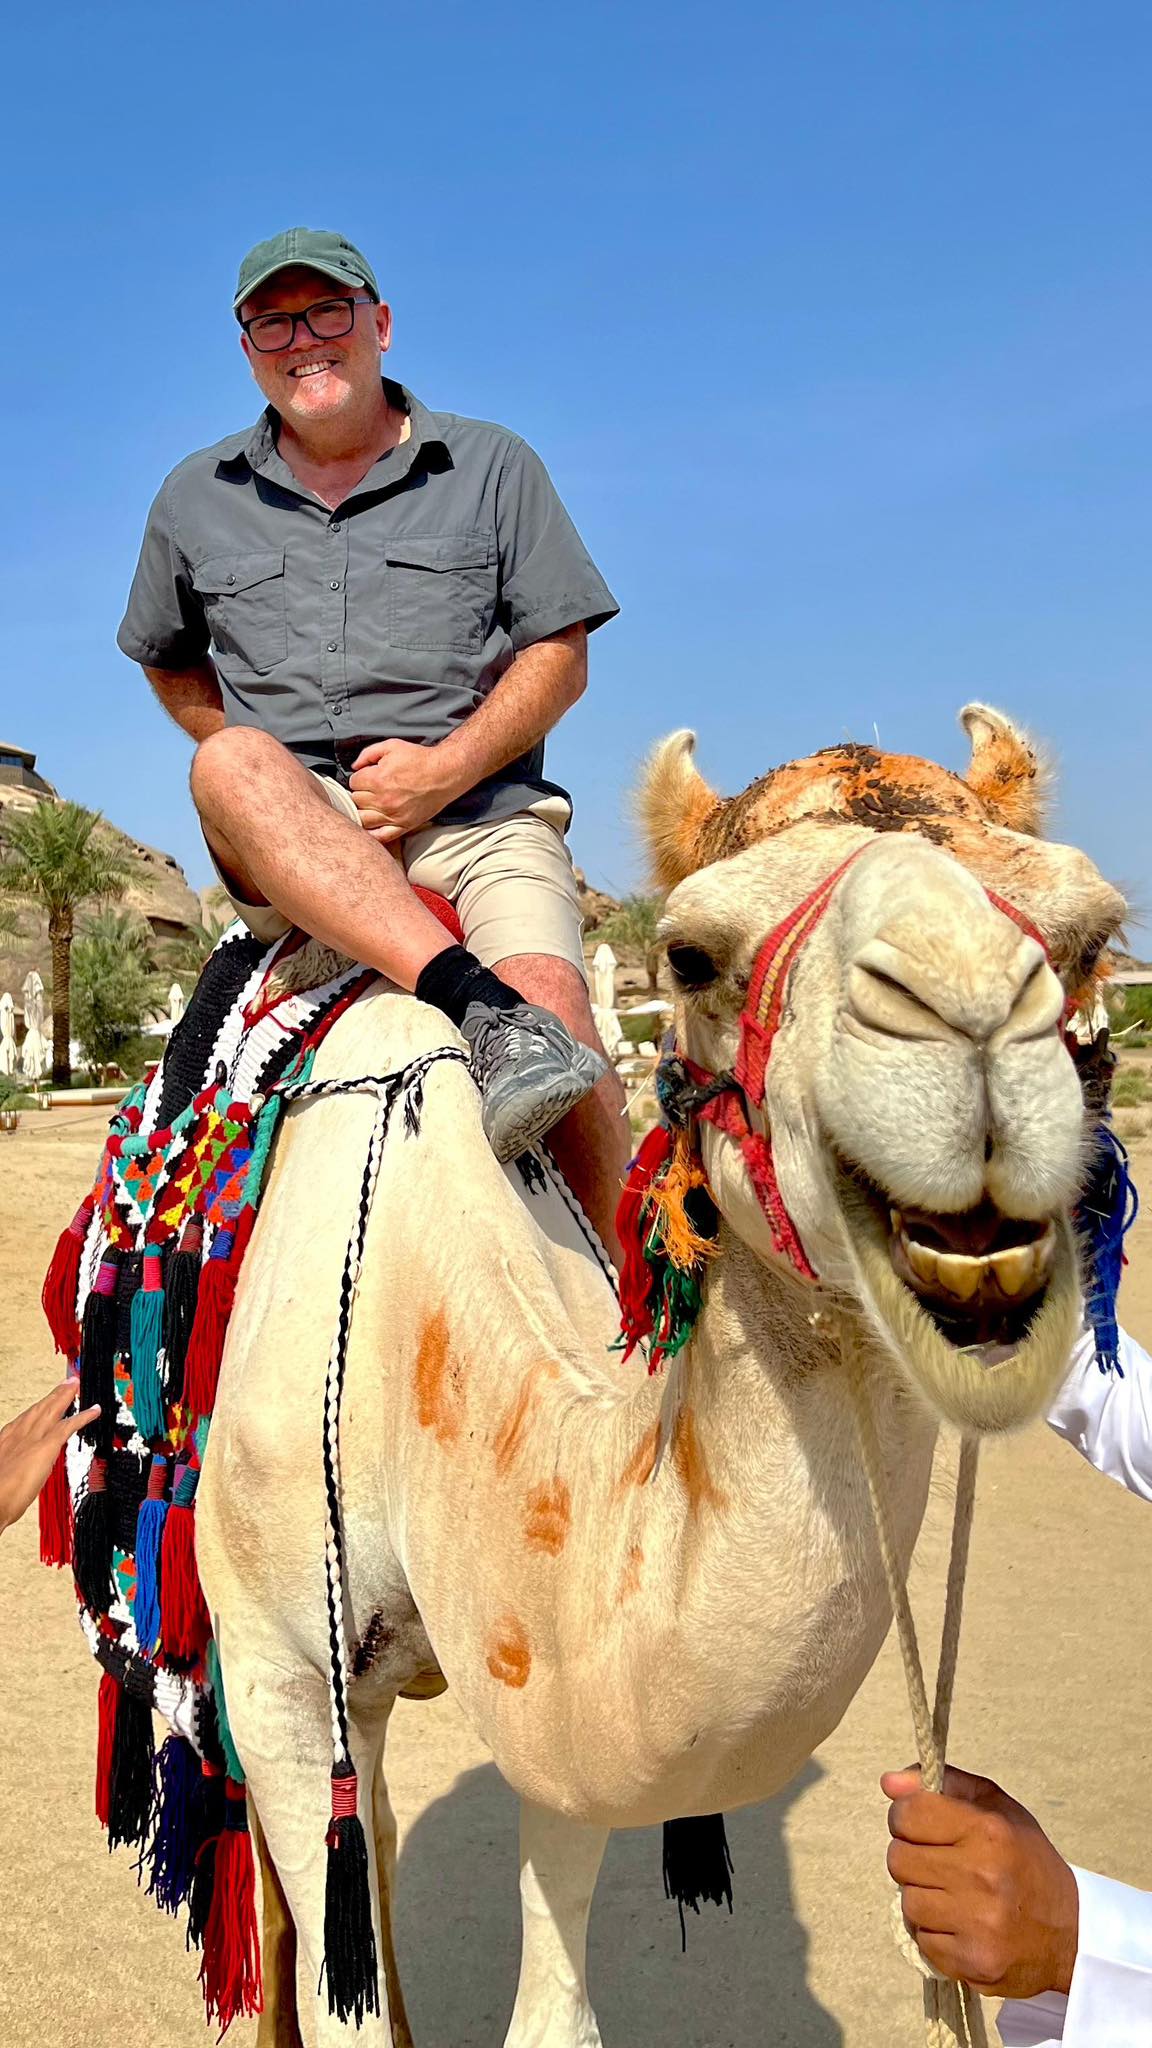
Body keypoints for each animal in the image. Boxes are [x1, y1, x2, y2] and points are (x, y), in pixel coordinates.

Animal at [196, 703, 1125, 2047]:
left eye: (1091, 939)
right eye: (689, 955)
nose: (973, 1068)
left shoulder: (565, 1694)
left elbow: (553, 2007)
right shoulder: (277, 1664)